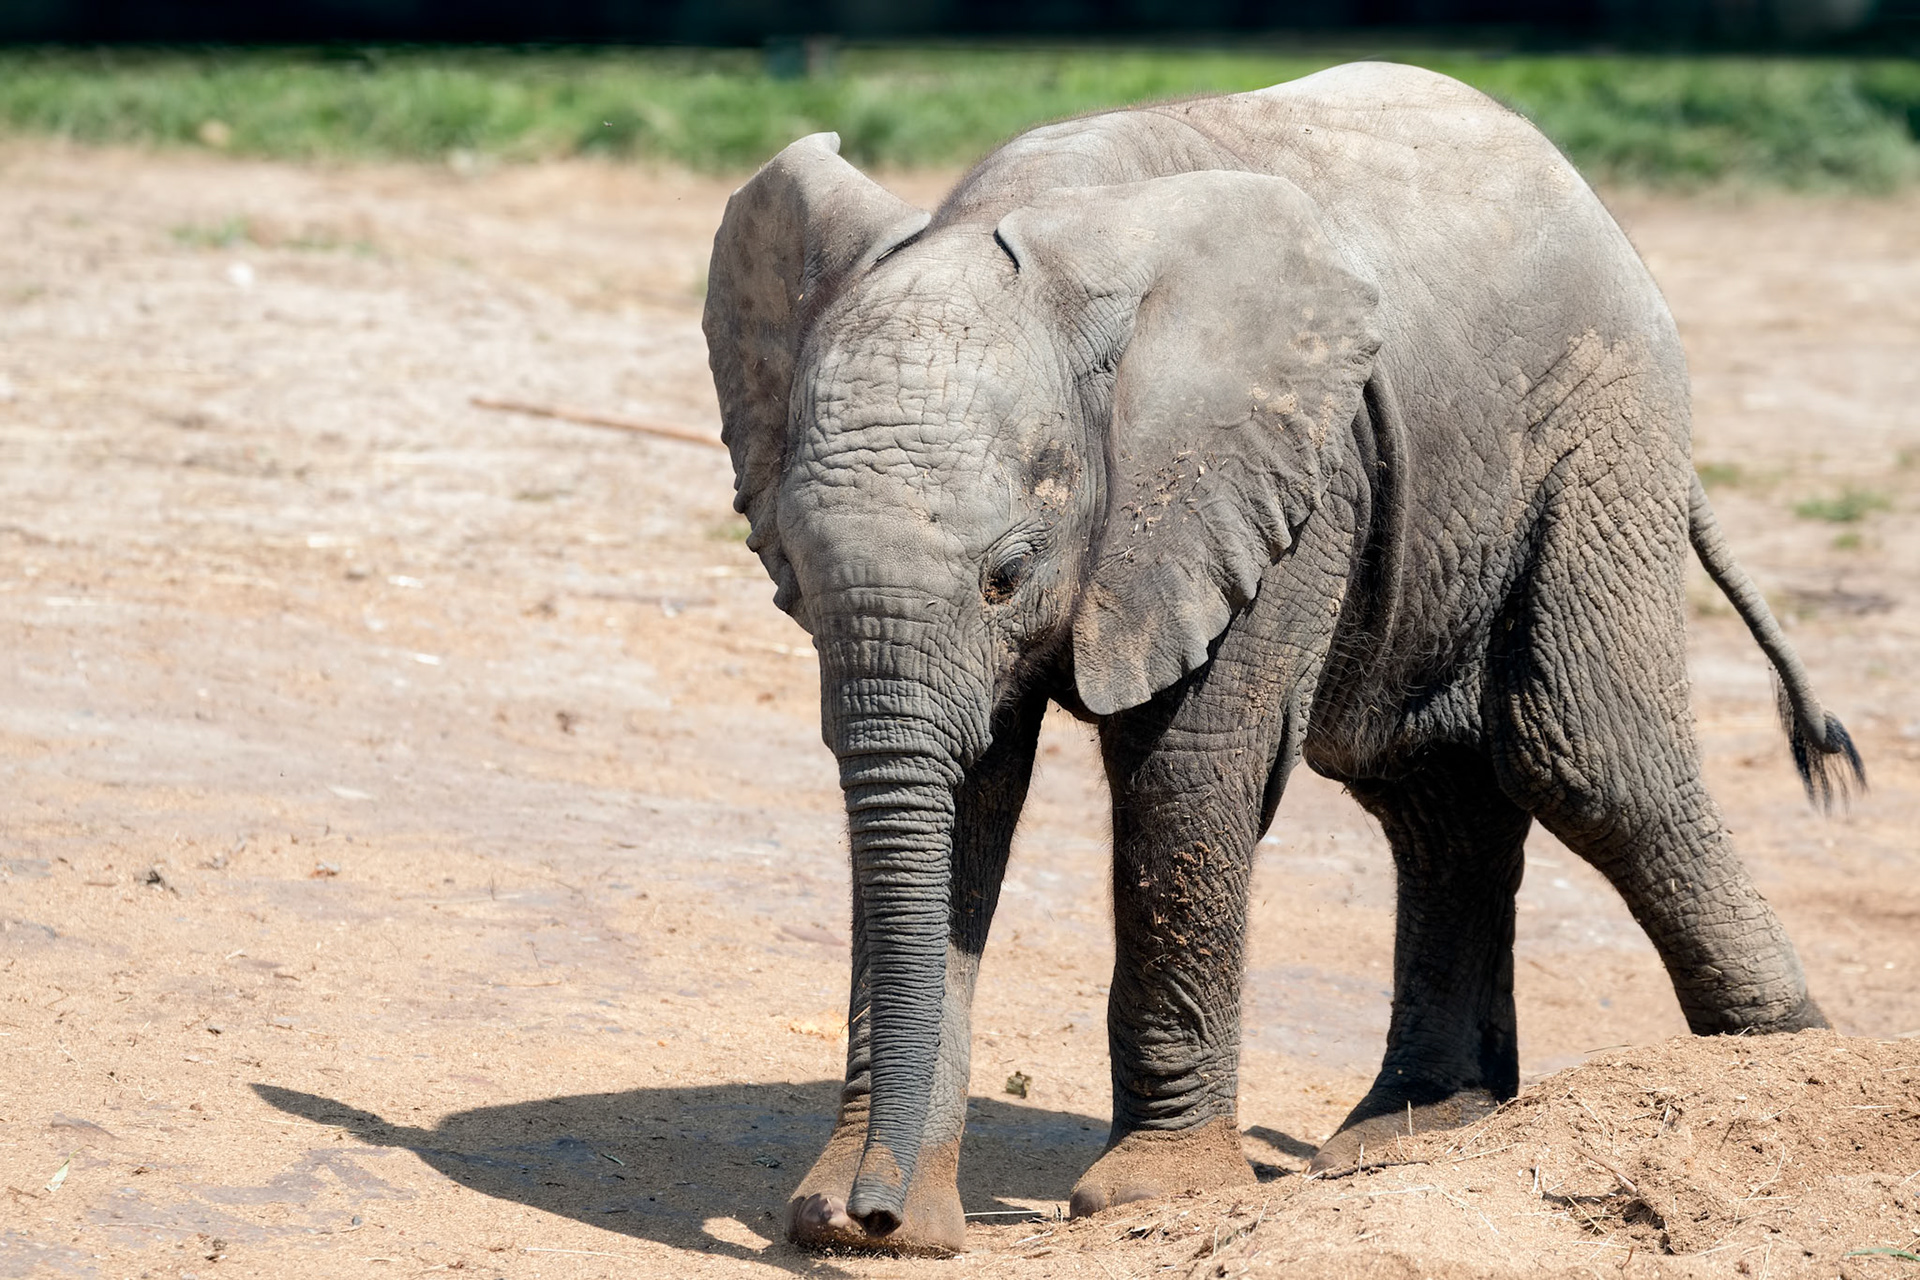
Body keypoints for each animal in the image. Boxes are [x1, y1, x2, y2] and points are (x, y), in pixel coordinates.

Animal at [701, 61, 1863, 1256]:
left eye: (1007, 576)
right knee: (1433, 794)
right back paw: (1415, 1128)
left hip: (1599, 426)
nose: (874, 1213)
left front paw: (1150, 1195)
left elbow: (1186, 777)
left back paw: (1786, 1062)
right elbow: (970, 796)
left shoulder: (1280, 477)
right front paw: (861, 1222)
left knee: (1588, 760)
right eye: (791, 567)